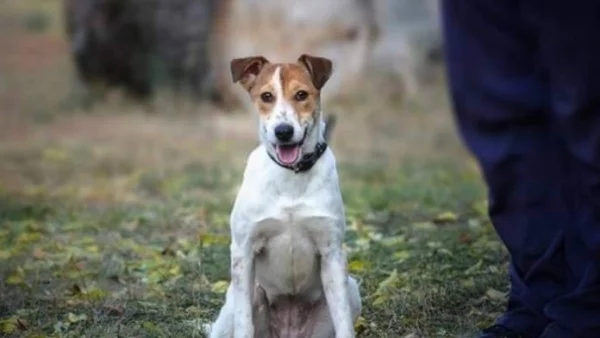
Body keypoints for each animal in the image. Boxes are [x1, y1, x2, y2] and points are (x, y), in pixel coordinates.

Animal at [206, 54, 360, 336]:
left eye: (301, 94)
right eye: (267, 96)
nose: (283, 131)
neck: (292, 175)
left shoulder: (332, 252)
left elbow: (344, 322)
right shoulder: (243, 250)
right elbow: (244, 323)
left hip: (351, 287)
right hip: (237, 299)